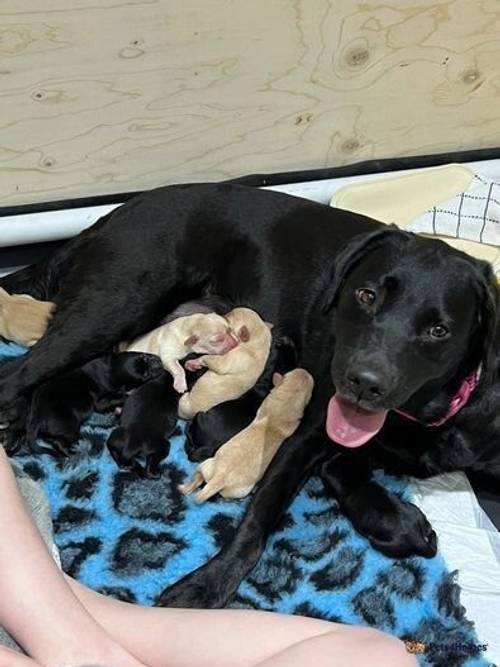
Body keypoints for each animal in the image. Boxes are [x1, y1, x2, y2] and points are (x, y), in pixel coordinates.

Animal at [25, 352, 162, 456]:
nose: (160, 363)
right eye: (145, 375)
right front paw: (125, 396)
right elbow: (112, 399)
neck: (110, 370)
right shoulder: (101, 399)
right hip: (68, 427)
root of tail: (37, 417)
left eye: (145, 357)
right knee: (59, 443)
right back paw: (72, 453)